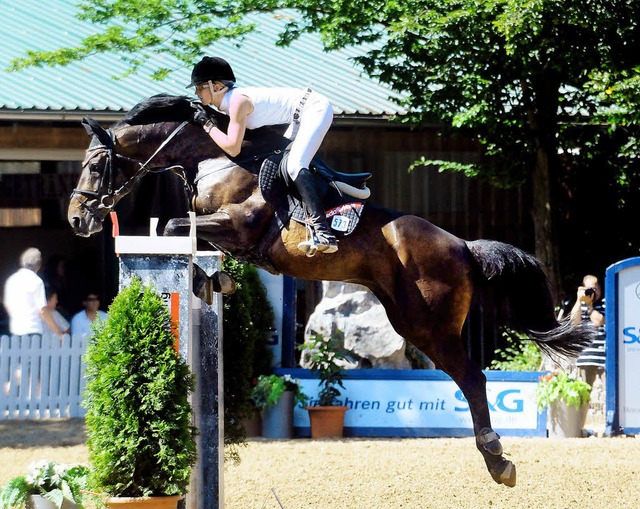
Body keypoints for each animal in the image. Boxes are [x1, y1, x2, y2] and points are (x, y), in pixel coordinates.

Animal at [69, 93, 596, 486]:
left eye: (95, 167)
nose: (78, 220)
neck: (216, 156)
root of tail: (463, 246)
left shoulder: (239, 223)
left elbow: (177, 226)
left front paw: (213, 274)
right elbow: (191, 236)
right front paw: (219, 278)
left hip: (428, 325)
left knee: (472, 378)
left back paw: (497, 460)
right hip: (408, 317)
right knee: (468, 376)